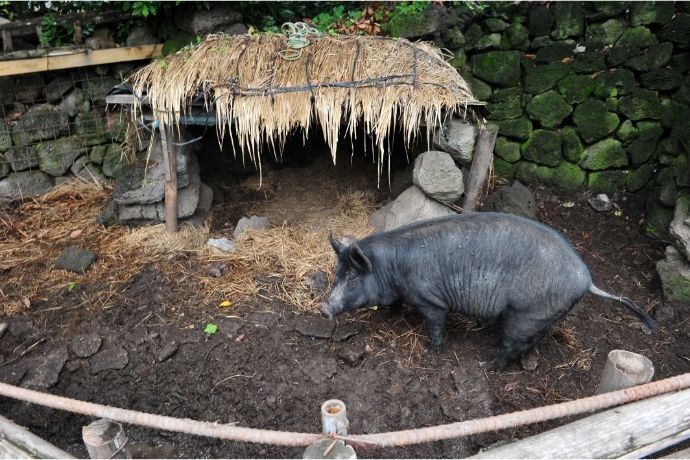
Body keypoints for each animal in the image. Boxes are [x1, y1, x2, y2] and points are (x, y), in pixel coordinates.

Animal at [320, 213, 652, 370]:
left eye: (352, 278)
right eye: (337, 274)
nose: (323, 309)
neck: (393, 269)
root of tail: (586, 279)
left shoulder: (431, 300)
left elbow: (436, 326)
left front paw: (431, 352)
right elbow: (394, 305)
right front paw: (390, 314)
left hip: (524, 314)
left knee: (508, 347)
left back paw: (485, 367)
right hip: (543, 315)